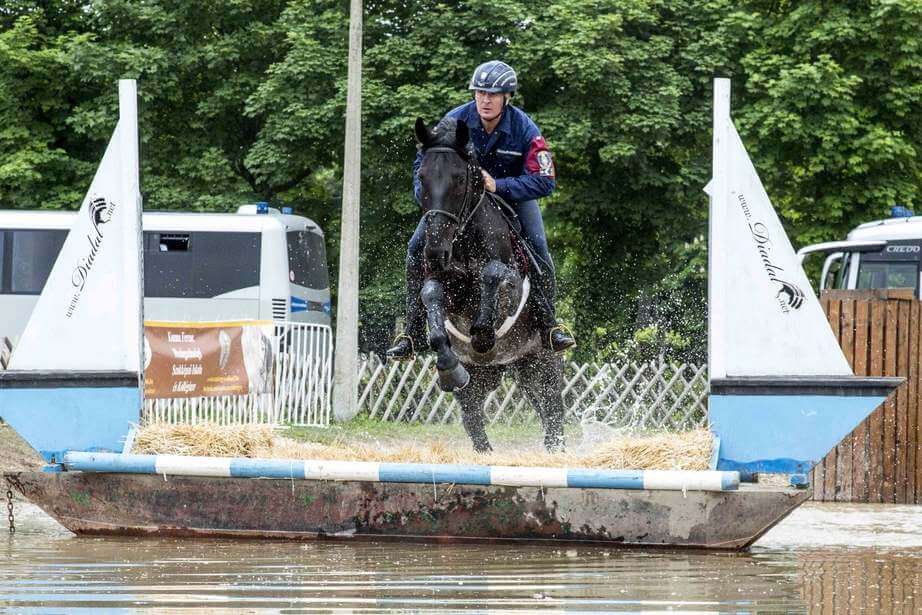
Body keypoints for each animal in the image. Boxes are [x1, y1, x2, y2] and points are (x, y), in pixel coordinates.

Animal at [414, 116, 564, 452]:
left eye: (459, 179)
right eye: (422, 177)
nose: (435, 251)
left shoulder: (511, 284)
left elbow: (493, 275)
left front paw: (482, 334)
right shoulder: (442, 285)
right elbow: (430, 295)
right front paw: (447, 365)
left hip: (542, 362)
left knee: (553, 411)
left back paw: (556, 449)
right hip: (493, 375)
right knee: (474, 418)